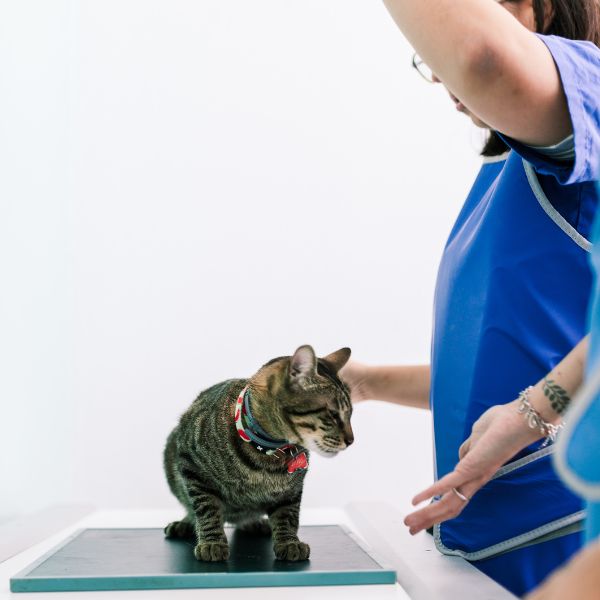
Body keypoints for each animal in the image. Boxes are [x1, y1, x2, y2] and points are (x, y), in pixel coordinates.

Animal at [162, 346, 354, 564]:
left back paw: (253, 523)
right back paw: (186, 523)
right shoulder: (192, 467)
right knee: (190, 506)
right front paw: (212, 542)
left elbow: (288, 515)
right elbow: (206, 509)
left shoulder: (292, 491)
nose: (351, 440)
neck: (267, 453)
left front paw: (289, 542)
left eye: (350, 413)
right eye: (333, 414)